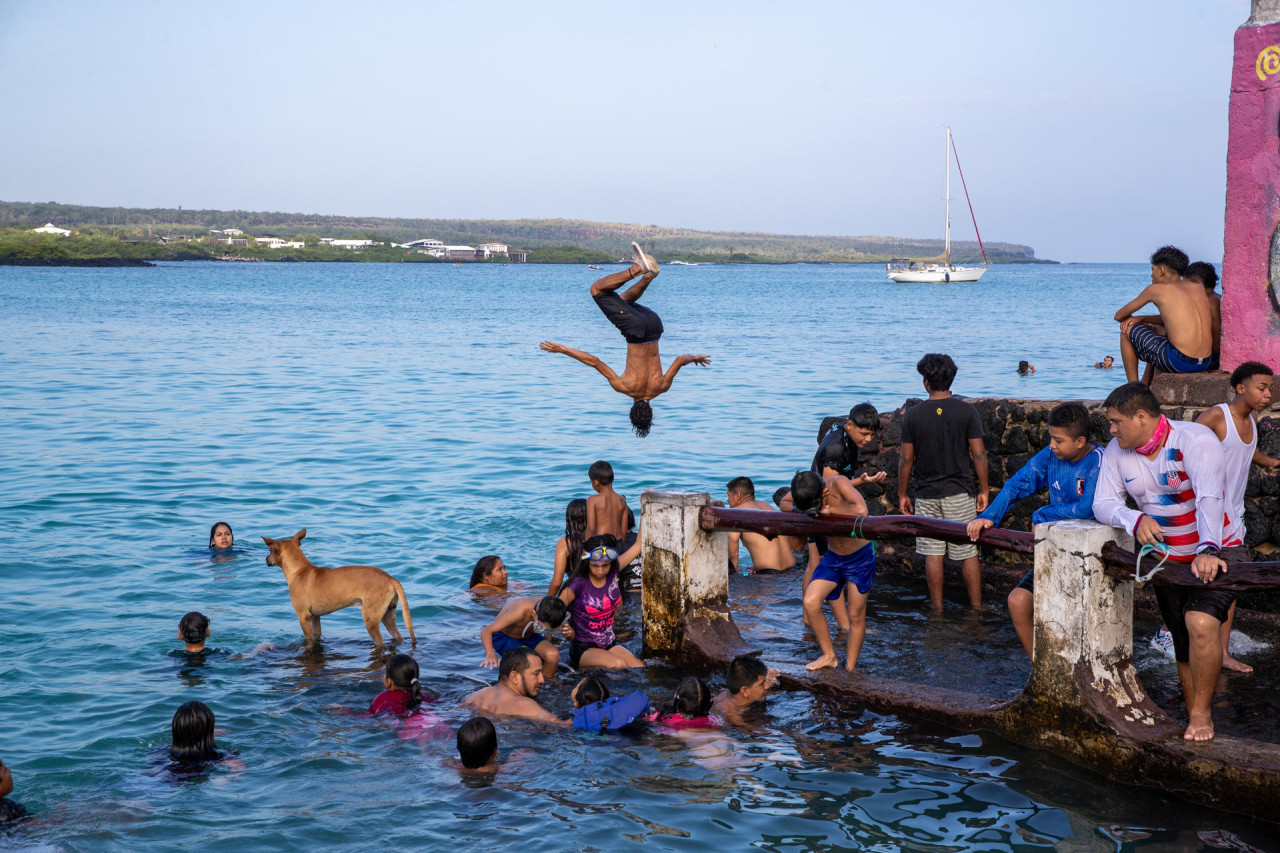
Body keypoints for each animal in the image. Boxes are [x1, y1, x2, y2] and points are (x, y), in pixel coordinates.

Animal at [262, 525, 417, 645]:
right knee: (398, 636)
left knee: (381, 643)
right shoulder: (315, 617)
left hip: (371, 620)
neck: (299, 570)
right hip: (388, 616)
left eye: (269, 551)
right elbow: (317, 635)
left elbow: (309, 640)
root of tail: (389, 577)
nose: (266, 559)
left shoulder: (303, 616)